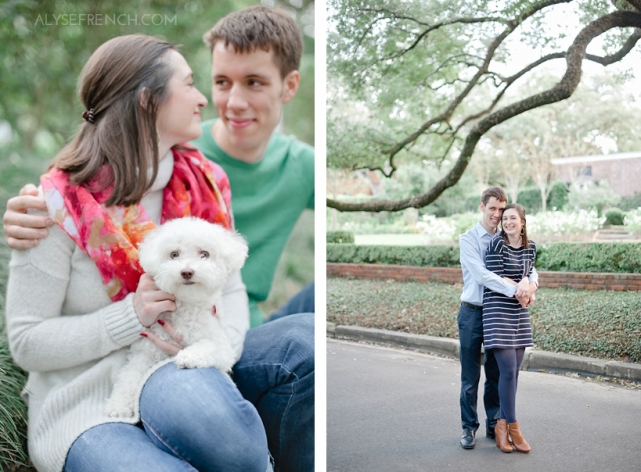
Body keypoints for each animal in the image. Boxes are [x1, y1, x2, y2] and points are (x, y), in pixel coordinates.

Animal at [105, 218, 248, 416]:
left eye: (204, 254)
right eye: (174, 254)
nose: (186, 272)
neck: (186, 305)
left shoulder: (222, 347)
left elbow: (209, 346)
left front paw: (188, 356)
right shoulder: (147, 350)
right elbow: (129, 375)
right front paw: (117, 404)